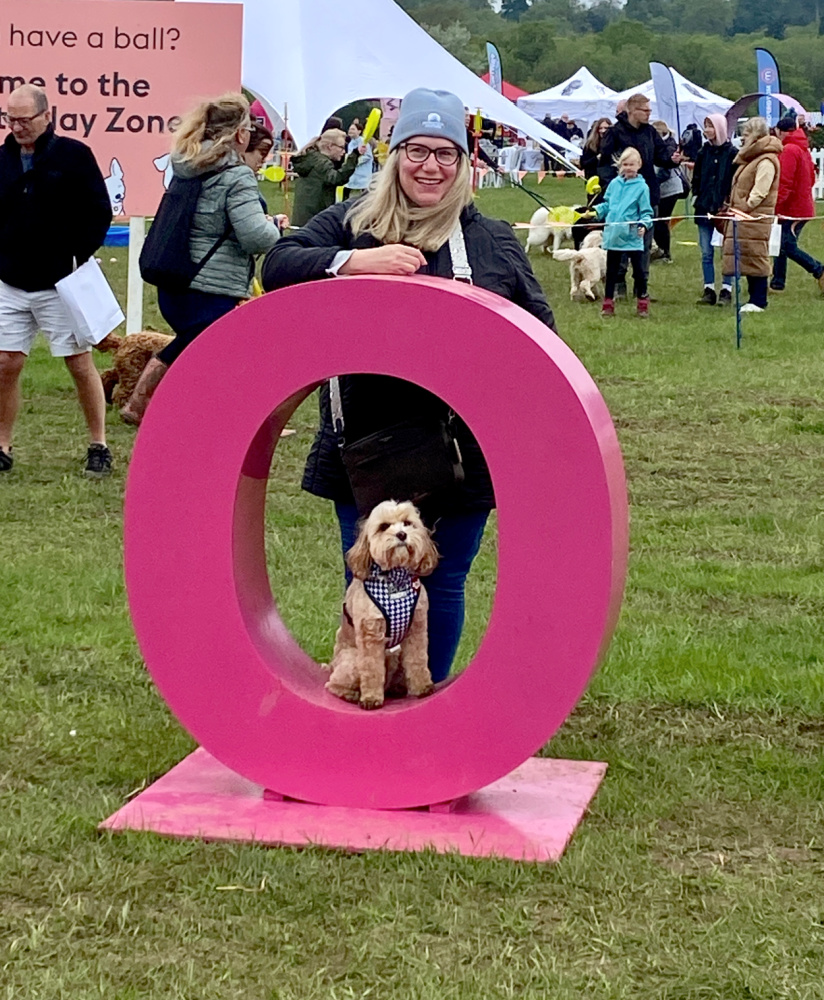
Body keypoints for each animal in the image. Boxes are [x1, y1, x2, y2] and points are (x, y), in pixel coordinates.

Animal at [324, 500, 440, 712]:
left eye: (408, 523)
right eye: (384, 526)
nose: (401, 534)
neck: (395, 579)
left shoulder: (417, 628)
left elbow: (418, 660)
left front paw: (423, 687)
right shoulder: (370, 636)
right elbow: (372, 670)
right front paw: (371, 698)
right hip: (353, 660)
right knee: (333, 684)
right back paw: (352, 694)